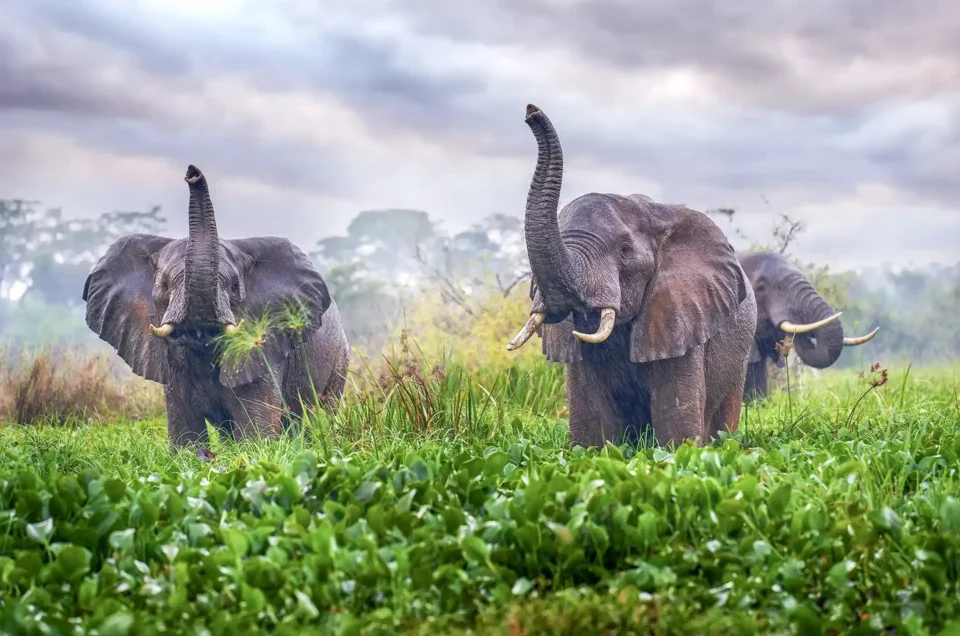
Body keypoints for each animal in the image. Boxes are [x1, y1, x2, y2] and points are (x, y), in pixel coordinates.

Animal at [82, 165, 349, 450]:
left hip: (339, 361)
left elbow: (256, 433)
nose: (192, 173)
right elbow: (186, 436)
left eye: (233, 287)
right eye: (164, 285)